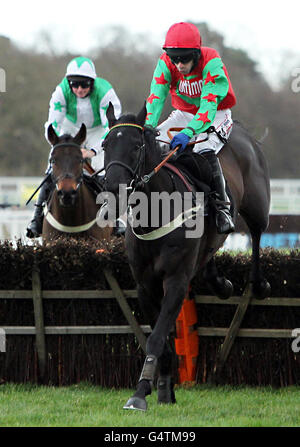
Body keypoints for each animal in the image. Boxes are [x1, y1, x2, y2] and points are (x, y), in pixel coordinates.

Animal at [102, 103, 270, 412]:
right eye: (106, 144)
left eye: (135, 146)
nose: (113, 190)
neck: (155, 214)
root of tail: (242, 131)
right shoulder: (145, 286)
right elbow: (162, 339)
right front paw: (163, 389)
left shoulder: (176, 282)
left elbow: (157, 338)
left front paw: (140, 392)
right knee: (211, 252)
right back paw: (220, 283)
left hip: (257, 204)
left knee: (256, 233)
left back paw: (258, 283)